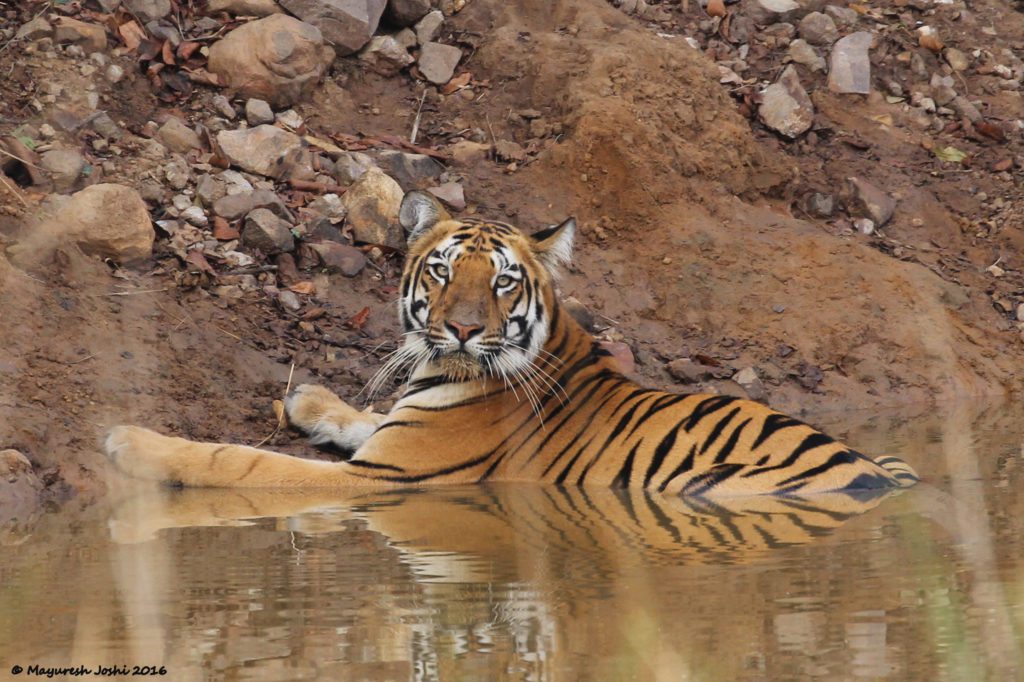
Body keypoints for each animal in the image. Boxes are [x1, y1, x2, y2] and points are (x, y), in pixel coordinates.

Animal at [103, 188, 921, 491]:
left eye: (501, 283)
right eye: (440, 271)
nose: (461, 329)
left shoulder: (381, 480)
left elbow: (241, 462)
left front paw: (132, 443)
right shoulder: (393, 435)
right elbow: (362, 416)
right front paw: (308, 398)